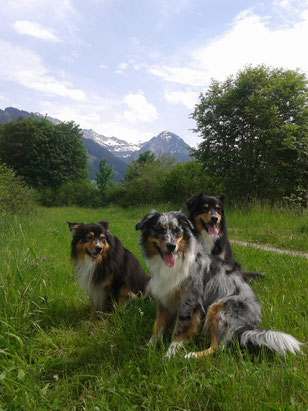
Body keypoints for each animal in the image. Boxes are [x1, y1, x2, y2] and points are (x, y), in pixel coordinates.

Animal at [136, 212, 302, 360]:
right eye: (160, 229)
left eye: (177, 231)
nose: (171, 246)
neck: (175, 260)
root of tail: (252, 323)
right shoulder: (164, 300)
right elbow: (157, 327)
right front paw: (149, 348)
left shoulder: (189, 302)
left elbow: (180, 330)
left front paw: (169, 356)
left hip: (219, 307)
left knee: (219, 347)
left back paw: (192, 355)